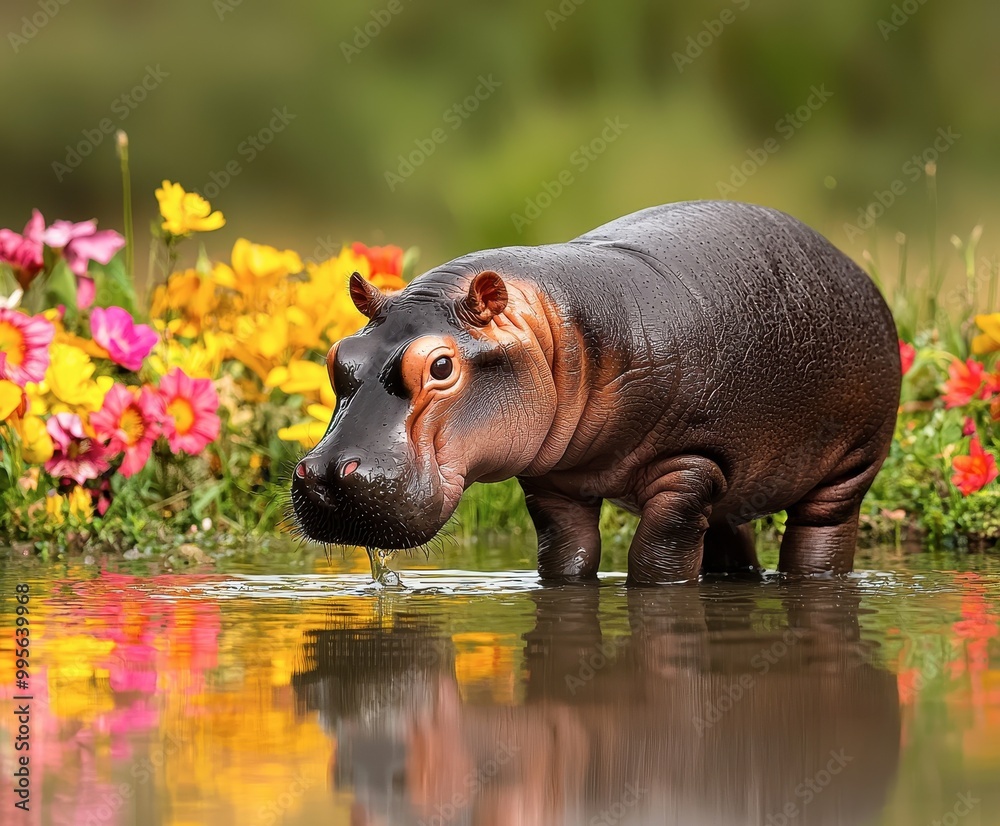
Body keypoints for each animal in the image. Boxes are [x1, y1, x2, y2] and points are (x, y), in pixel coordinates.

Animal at [291, 200, 900, 584]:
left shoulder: (690, 466)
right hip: (737, 481)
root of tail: (852, 268)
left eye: (441, 365)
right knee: (731, 540)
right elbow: (567, 556)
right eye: (337, 356)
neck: (563, 332)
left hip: (850, 466)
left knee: (821, 535)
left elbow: (657, 561)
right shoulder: (554, 482)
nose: (325, 474)